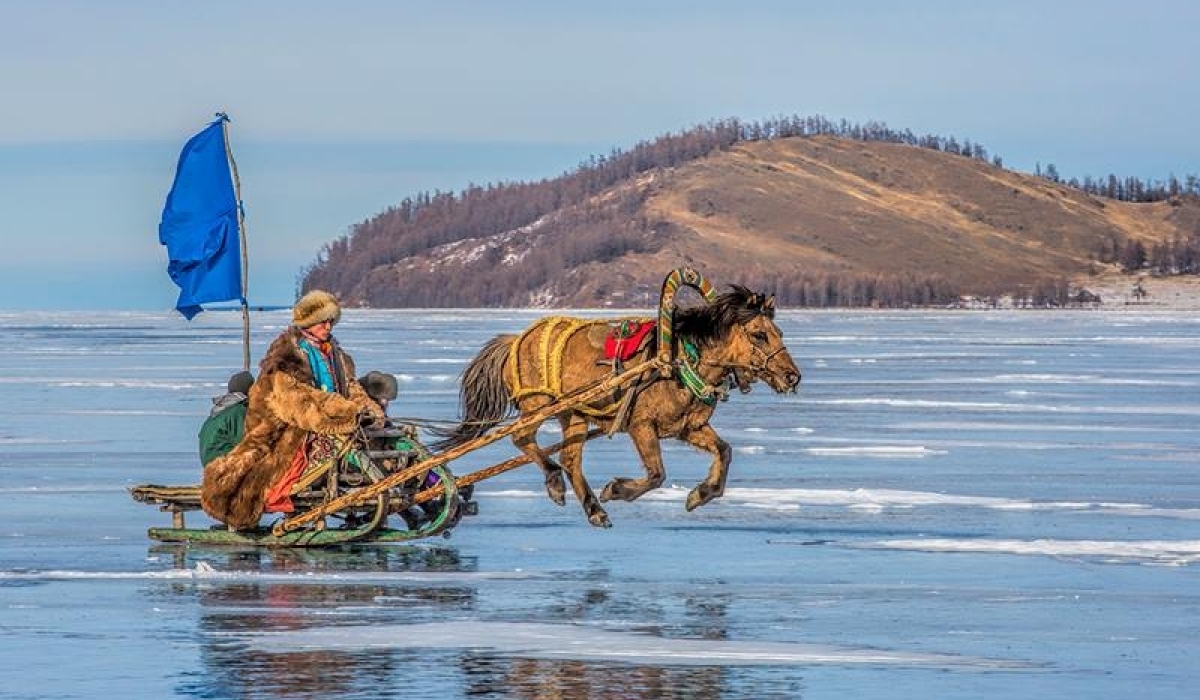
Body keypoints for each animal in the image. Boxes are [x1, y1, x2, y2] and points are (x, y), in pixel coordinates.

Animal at [436, 284, 801, 525]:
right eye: (759, 334)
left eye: (779, 331)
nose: (793, 376)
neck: (680, 360)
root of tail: (515, 340)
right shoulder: (642, 425)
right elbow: (656, 474)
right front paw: (615, 489)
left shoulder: (689, 426)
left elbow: (724, 451)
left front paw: (700, 494)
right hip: (537, 404)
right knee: (523, 438)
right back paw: (556, 483)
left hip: (574, 414)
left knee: (570, 458)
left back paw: (593, 509)